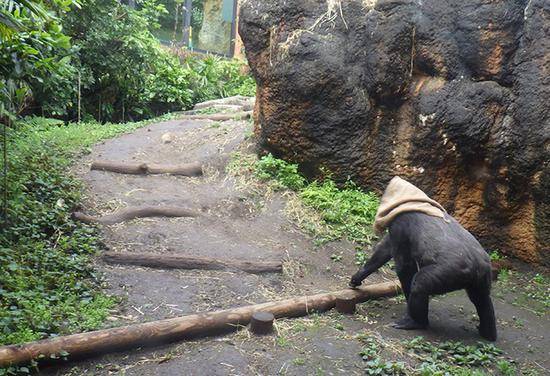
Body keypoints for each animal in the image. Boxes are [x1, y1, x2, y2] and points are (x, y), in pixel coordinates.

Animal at [352, 176, 498, 340]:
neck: (414, 200)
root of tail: (478, 264)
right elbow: (383, 251)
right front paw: (358, 276)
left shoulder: (400, 223)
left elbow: (404, 266)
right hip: (483, 275)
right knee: (481, 299)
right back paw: (488, 332)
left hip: (452, 272)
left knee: (420, 284)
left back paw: (416, 322)